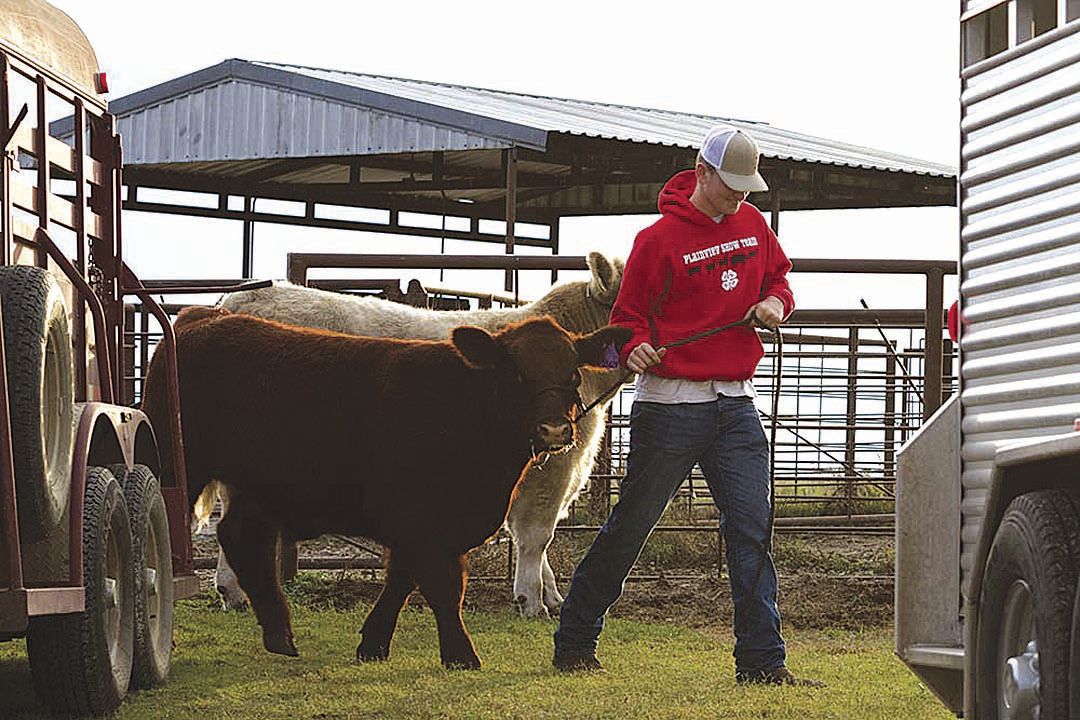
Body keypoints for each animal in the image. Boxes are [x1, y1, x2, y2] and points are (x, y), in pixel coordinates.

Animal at [141, 306, 630, 667]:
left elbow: (404, 579)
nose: (555, 430)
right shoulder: (422, 518)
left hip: (254, 484)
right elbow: (440, 585)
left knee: (242, 538)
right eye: (517, 374)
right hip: (180, 464)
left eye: (572, 375)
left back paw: (280, 634)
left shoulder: (431, 524)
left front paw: (373, 643)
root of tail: (203, 317)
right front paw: (461, 655)